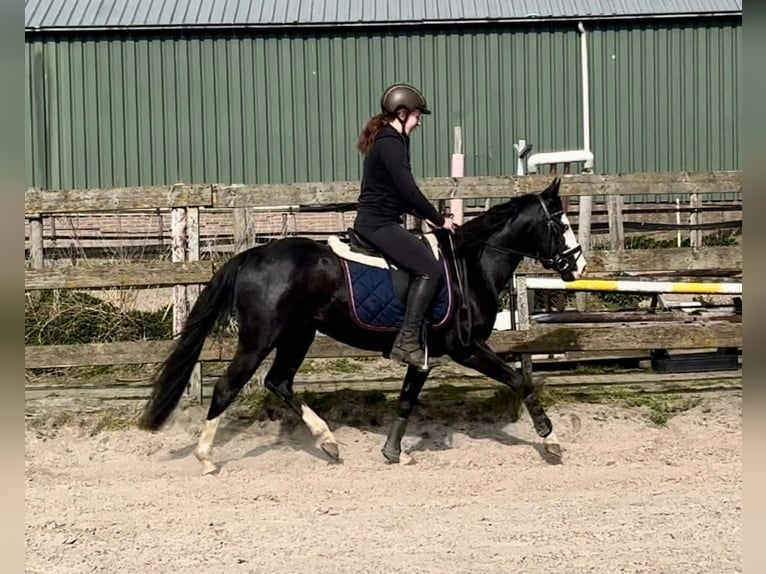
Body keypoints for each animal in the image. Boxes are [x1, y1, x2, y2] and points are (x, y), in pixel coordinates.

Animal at [138, 177, 586, 474]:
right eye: (561, 223)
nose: (578, 266)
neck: (472, 265)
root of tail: (250, 256)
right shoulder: (466, 348)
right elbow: (519, 380)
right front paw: (552, 442)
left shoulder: (424, 355)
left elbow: (406, 399)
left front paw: (394, 451)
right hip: (259, 338)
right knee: (228, 386)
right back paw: (207, 458)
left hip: (298, 334)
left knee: (278, 381)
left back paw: (328, 442)